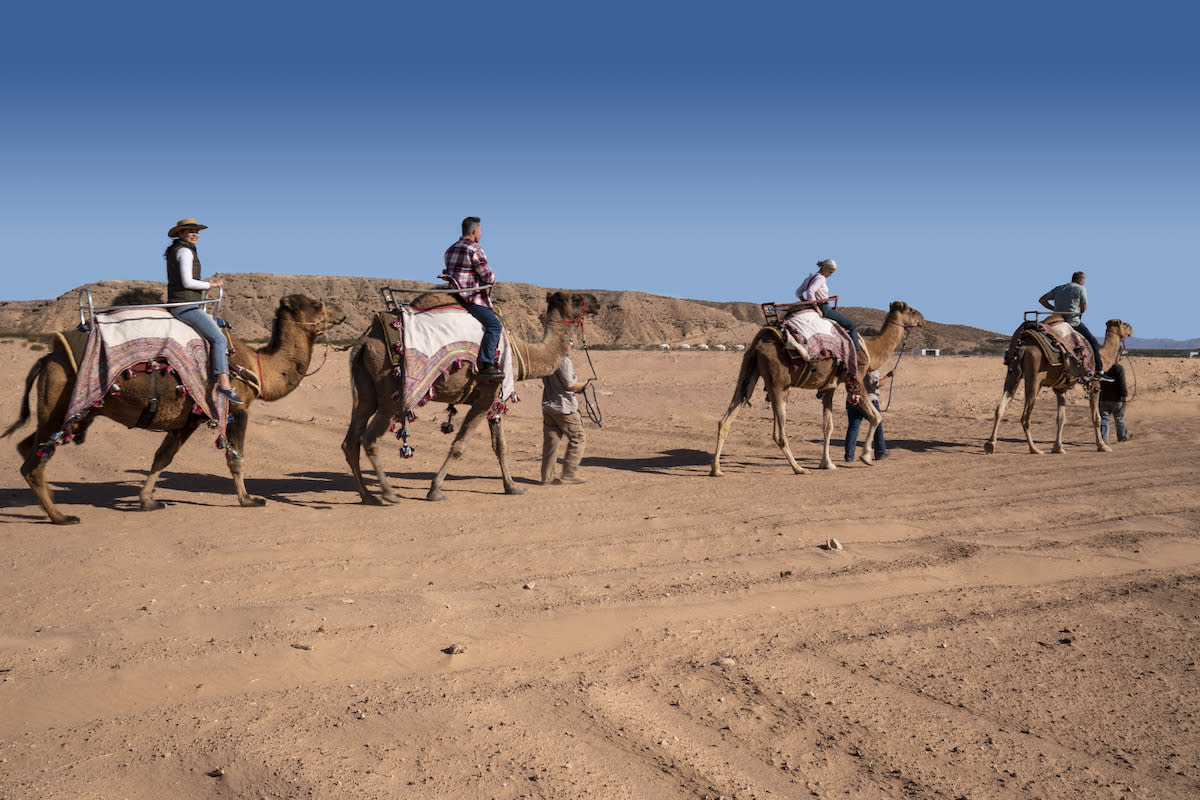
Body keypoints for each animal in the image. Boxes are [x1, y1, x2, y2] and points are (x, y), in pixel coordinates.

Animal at [3, 293, 343, 525]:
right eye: (316, 303)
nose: (341, 312)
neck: (257, 366)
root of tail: (48, 356)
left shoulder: (189, 417)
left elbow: (162, 457)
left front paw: (147, 501)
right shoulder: (236, 408)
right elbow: (235, 458)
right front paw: (248, 499)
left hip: (59, 409)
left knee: (28, 447)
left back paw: (51, 502)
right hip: (63, 404)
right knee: (34, 460)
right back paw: (60, 516)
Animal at [343, 291, 595, 503]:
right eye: (575, 298)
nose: (595, 301)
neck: (523, 354)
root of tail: (364, 342)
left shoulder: (495, 402)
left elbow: (500, 446)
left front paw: (512, 487)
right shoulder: (487, 394)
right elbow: (459, 446)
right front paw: (435, 490)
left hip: (366, 391)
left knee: (351, 441)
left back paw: (368, 496)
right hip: (390, 391)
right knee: (370, 438)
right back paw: (388, 493)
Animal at [710, 299, 926, 474]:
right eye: (912, 310)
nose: (923, 319)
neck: (871, 349)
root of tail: (758, 343)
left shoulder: (829, 386)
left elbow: (827, 425)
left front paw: (827, 463)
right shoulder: (855, 378)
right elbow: (876, 416)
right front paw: (865, 457)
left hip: (748, 371)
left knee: (726, 418)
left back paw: (716, 469)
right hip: (779, 384)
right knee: (779, 433)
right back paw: (798, 468)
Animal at [984, 319, 1132, 455]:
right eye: (1125, 325)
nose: (1131, 329)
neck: (1103, 358)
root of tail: (1023, 348)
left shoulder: (1061, 389)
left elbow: (1061, 418)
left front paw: (1058, 447)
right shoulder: (1094, 382)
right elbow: (1096, 417)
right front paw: (1102, 446)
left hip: (1013, 370)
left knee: (1000, 408)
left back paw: (990, 444)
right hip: (1035, 377)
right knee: (1025, 416)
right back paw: (1034, 449)